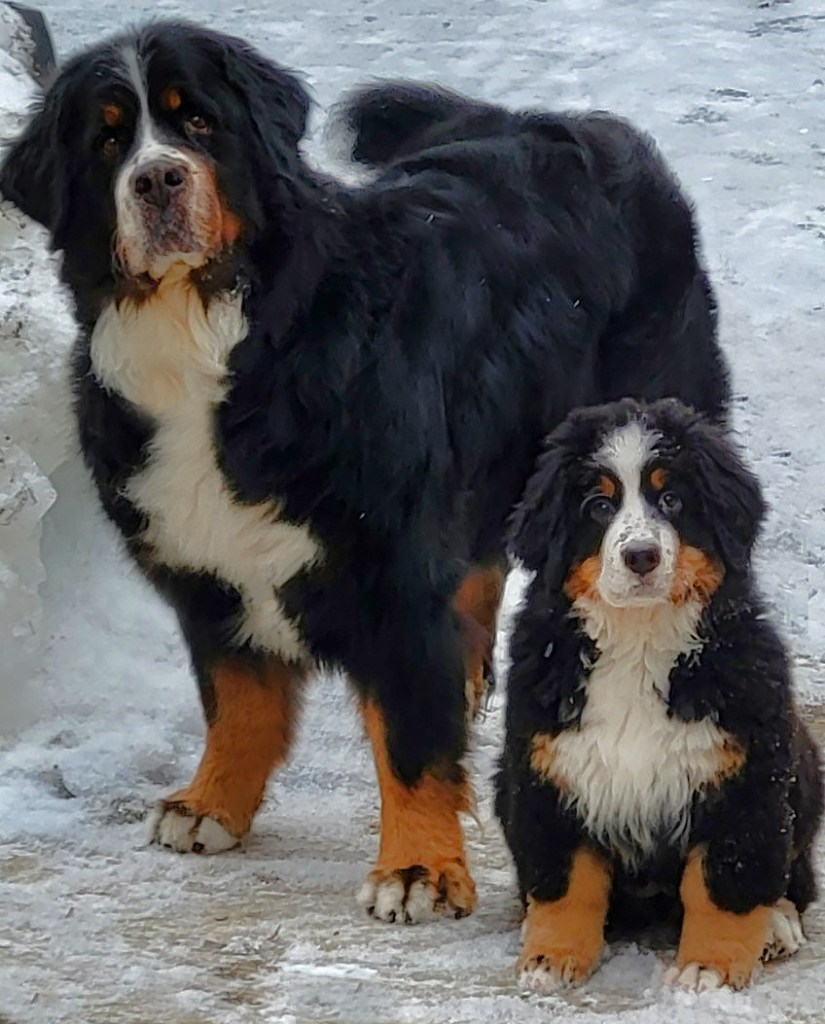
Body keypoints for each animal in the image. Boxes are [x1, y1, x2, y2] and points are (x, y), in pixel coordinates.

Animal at [1, 21, 731, 924]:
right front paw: (211, 804)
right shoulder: (206, 565)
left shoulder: (392, 566)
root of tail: (572, 122)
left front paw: (418, 869)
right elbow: (237, 700)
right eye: (107, 139)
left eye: (197, 121)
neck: (206, 343)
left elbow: (410, 737)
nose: (159, 178)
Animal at [496, 398, 822, 990]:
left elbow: (723, 886)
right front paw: (551, 958)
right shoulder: (547, 774)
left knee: (793, 874)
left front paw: (708, 968)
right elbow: (566, 883)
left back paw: (777, 925)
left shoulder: (744, 779)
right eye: (598, 506)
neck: (640, 641)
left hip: (802, 766)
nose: (642, 556)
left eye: (671, 499)